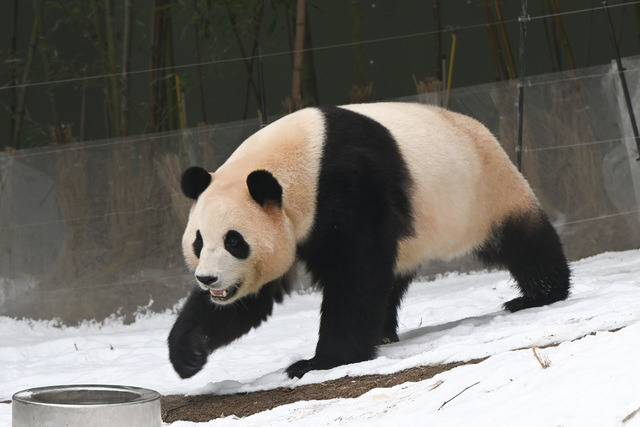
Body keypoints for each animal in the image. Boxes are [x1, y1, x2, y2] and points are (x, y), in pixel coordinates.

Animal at [166, 102, 568, 380]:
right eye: (199, 242)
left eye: (234, 241)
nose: (208, 279)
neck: (299, 161)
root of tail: (482, 129)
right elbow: (251, 299)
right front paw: (188, 353)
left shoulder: (348, 185)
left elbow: (354, 273)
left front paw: (319, 362)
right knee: (391, 276)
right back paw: (385, 332)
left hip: (484, 191)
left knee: (523, 242)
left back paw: (540, 295)